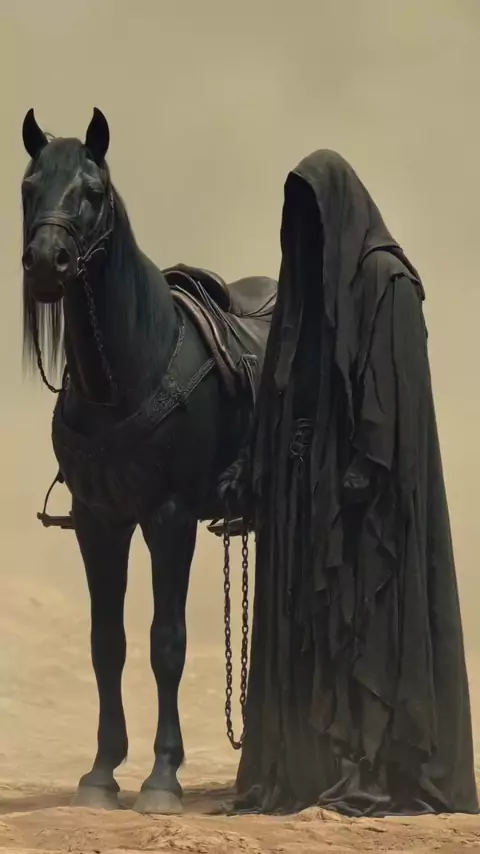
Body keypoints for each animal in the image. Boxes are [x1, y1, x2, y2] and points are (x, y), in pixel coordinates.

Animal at [20, 107, 276, 815]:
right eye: (28, 187)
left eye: (93, 190)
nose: (46, 262)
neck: (125, 376)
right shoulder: (98, 521)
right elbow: (107, 643)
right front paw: (101, 774)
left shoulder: (169, 517)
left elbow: (167, 642)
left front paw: (163, 776)